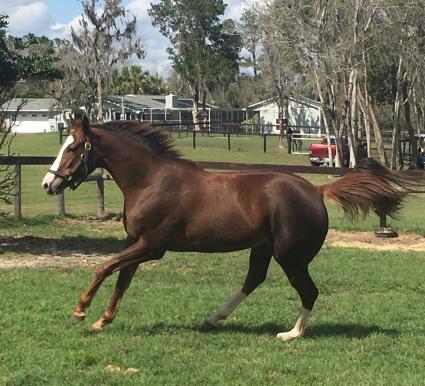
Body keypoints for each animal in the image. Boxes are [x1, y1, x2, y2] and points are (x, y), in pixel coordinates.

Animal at [42, 117, 420, 340]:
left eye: (73, 148)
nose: (48, 183)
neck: (151, 181)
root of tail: (316, 190)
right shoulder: (136, 243)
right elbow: (122, 279)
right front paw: (102, 320)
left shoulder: (151, 246)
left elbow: (103, 267)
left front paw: (79, 313)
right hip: (263, 248)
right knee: (254, 280)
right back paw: (212, 319)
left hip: (290, 256)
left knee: (308, 291)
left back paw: (291, 334)